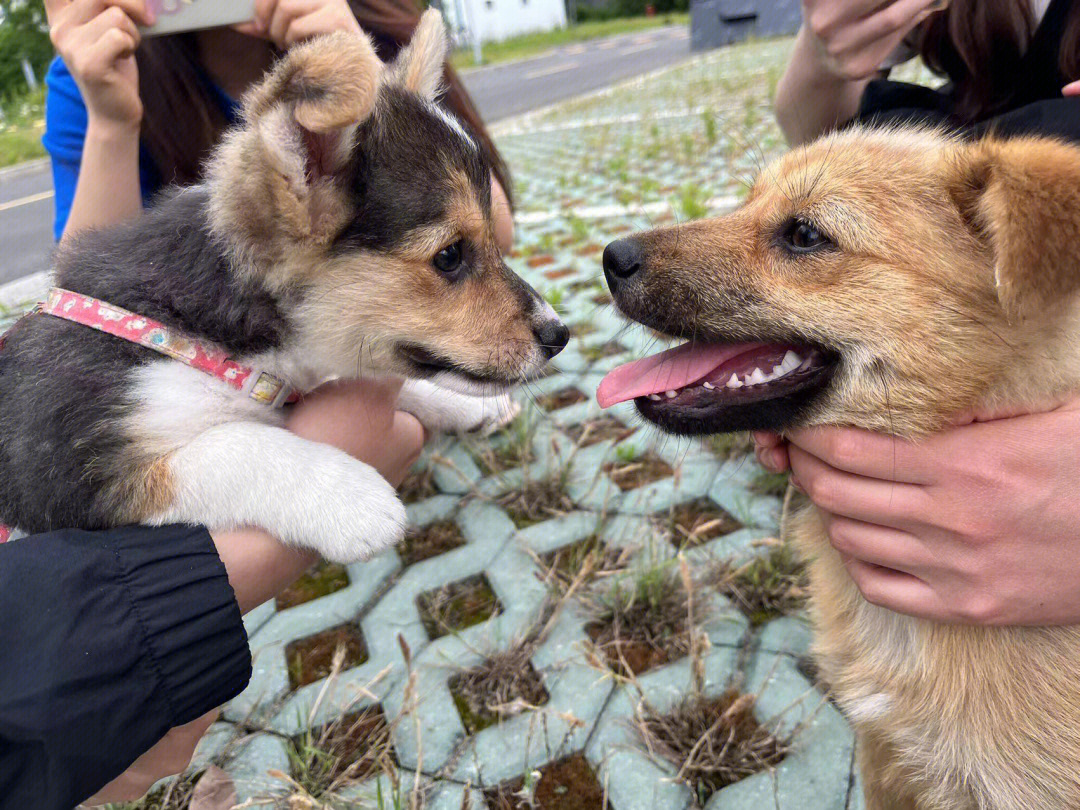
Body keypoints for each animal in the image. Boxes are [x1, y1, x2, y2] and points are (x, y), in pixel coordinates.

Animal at [0, 11, 565, 565]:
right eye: (450, 256)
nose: (559, 336)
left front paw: (467, 408)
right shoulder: (73, 471)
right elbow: (232, 446)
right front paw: (351, 500)